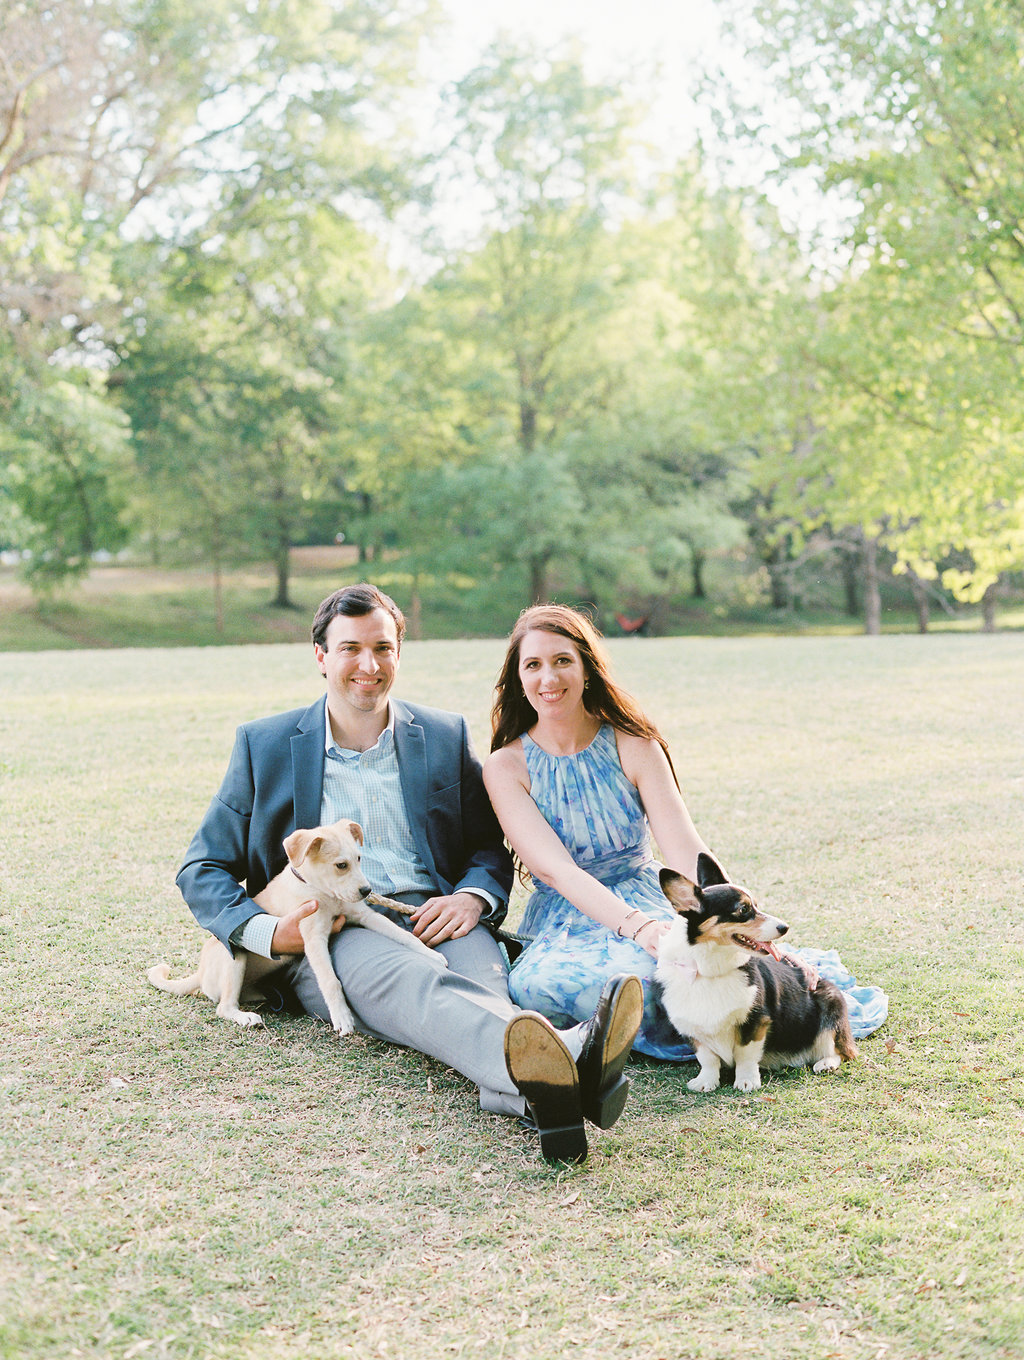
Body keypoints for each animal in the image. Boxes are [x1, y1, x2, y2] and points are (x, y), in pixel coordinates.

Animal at [655, 859, 854, 1093]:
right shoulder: (692, 1029)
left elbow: (745, 1055)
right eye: (743, 909)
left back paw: (826, 1063)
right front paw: (705, 1082)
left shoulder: (756, 1021)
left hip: (831, 1008)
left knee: (840, 1050)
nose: (785, 927)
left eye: (757, 905)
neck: (708, 971)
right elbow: (708, 1059)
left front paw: (746, 1081)